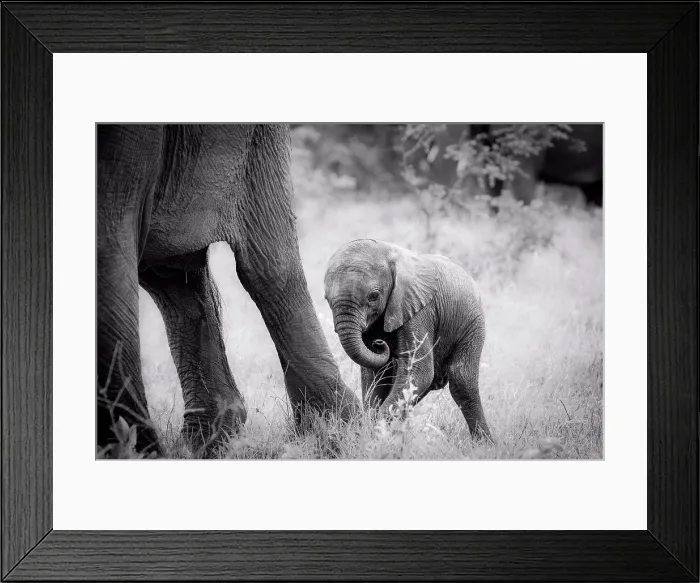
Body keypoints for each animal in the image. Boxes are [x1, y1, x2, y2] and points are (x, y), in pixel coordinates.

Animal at [323, 239, 491, 440]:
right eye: (326, 299)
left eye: (374, 296)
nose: (379, 344)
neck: (390, 252)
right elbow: (377, 374)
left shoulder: (419, 309)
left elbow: (420, 371)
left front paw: (376, 432)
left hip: (473, 324)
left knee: (462, 382)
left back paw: (485, 443)